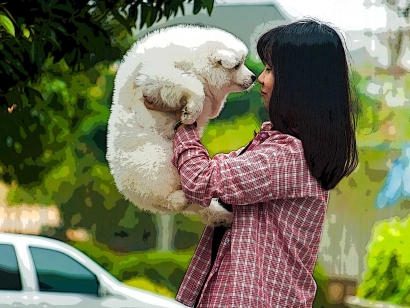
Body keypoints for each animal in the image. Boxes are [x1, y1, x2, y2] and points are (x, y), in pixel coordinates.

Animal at [106, 24, 253, 226]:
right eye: (238, 65)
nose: (254, 77)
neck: (195, 57)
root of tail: (126, 190)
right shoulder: (157, 74)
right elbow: (191, 84)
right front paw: (191, 112)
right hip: (156, 159)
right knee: (162, 196)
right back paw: (180, 198)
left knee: (197, 204)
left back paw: (222, 216)